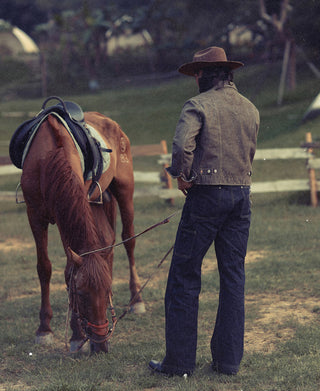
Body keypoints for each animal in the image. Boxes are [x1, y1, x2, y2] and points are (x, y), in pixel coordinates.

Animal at [19, 108, 146, 354]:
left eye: (105, 292)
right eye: (80, 294)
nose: (101, 344)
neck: (47, 157)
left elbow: (69, 268)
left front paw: (76, 335)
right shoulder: (35, 215)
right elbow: (44, 267)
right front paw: (45, 329)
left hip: (124, 190)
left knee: (128, 240)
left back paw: (137, 300)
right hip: (96, 202)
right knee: (108, 242)